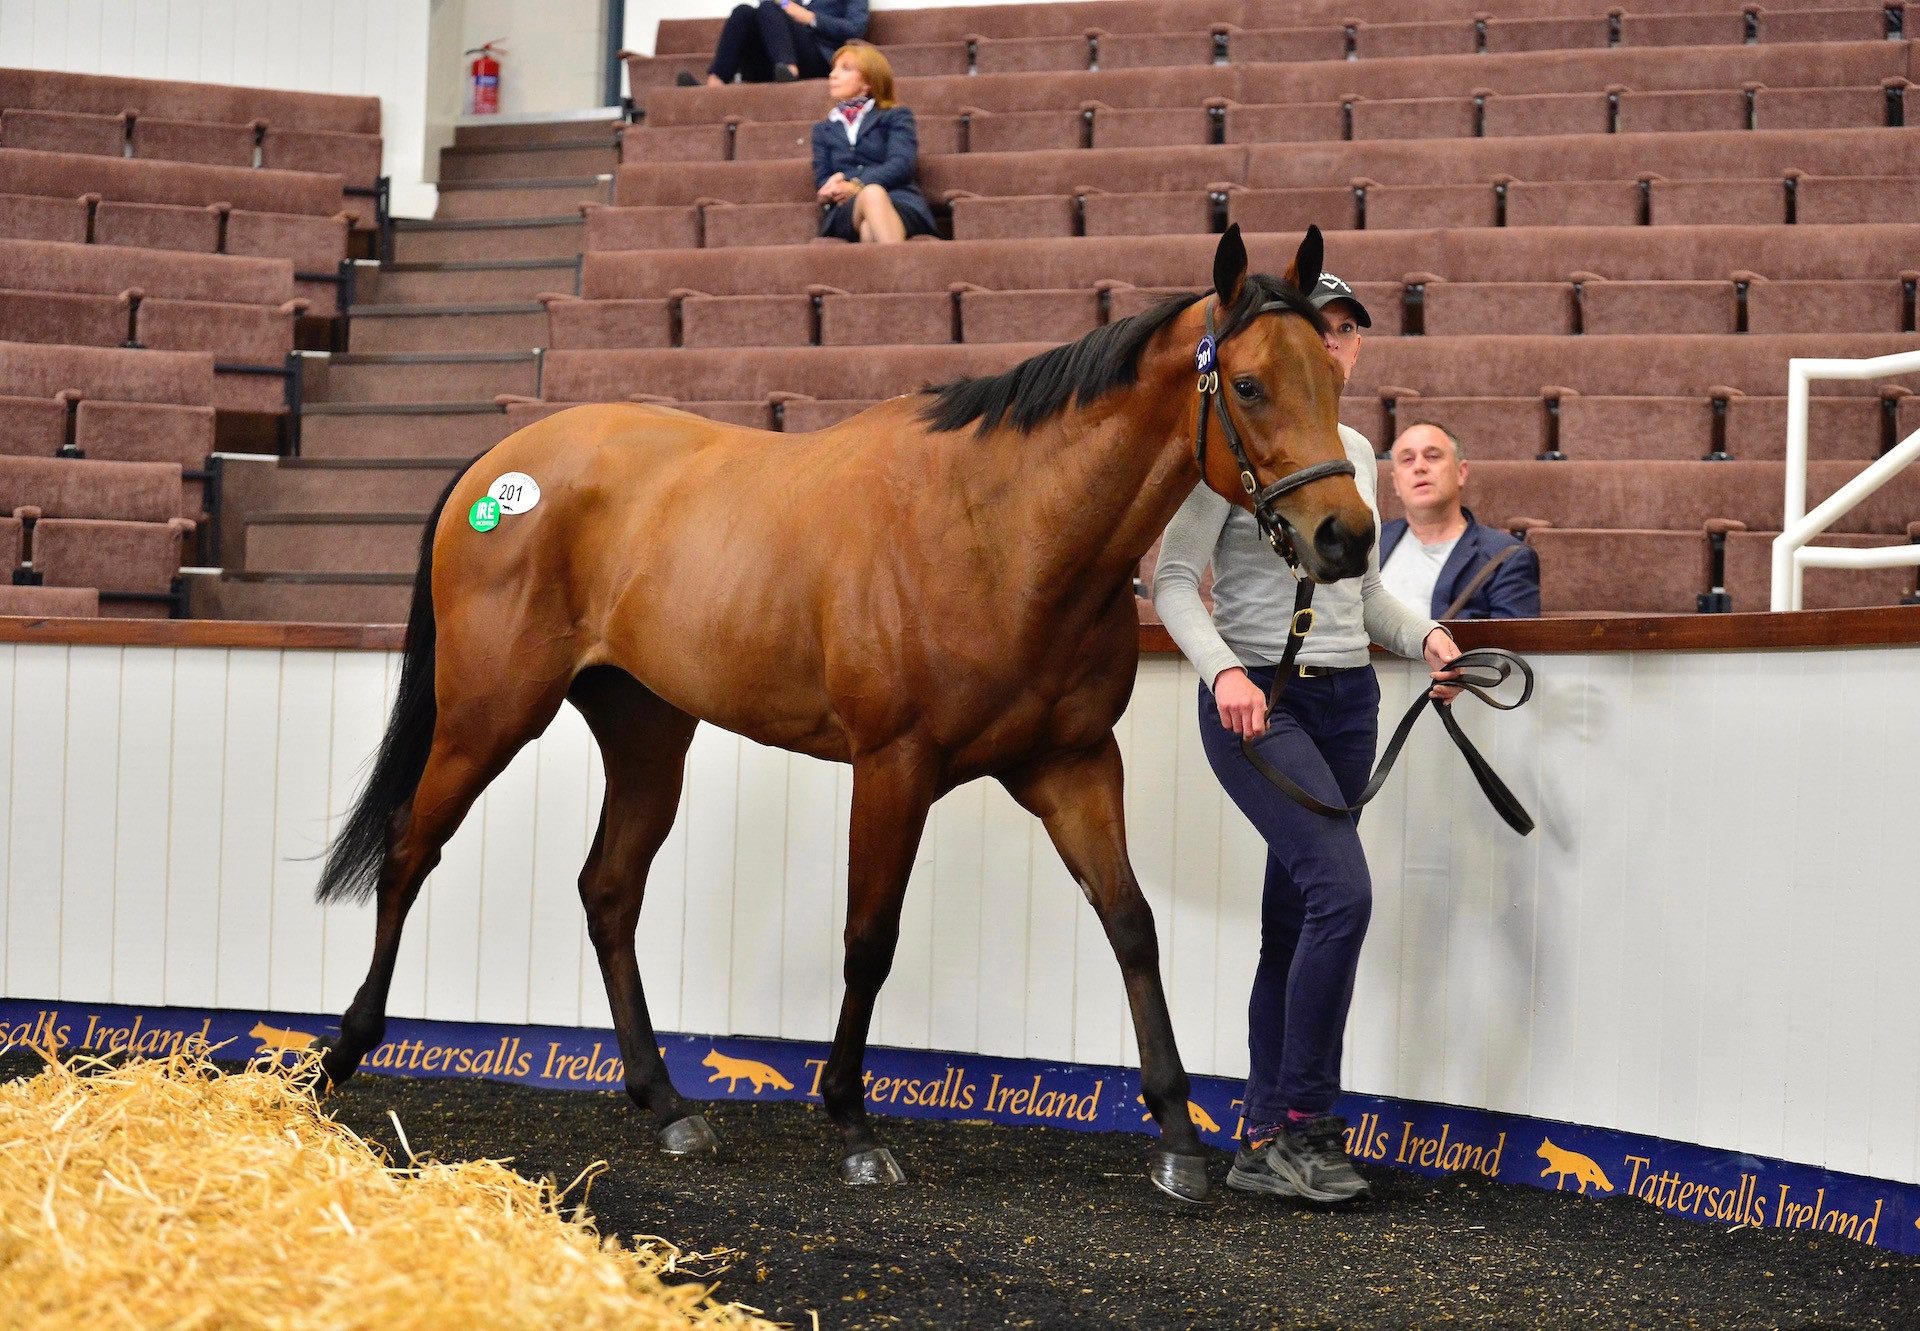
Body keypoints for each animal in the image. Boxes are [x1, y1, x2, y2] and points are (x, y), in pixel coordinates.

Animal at [314, 222, 1374, 1198]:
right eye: (1249, 385)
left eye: (1332, 377)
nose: (1348, 536)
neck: (999, 529)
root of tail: (499, 461)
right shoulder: (894, 764)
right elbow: (872, 938)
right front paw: (854, 1122)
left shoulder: (1071, 762)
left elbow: (1130, 921)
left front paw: (1181, 1137)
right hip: (488, 714)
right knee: (410, 848)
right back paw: (341, 1058)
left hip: (647, 730)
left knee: (608, 892)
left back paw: (668, 1105)